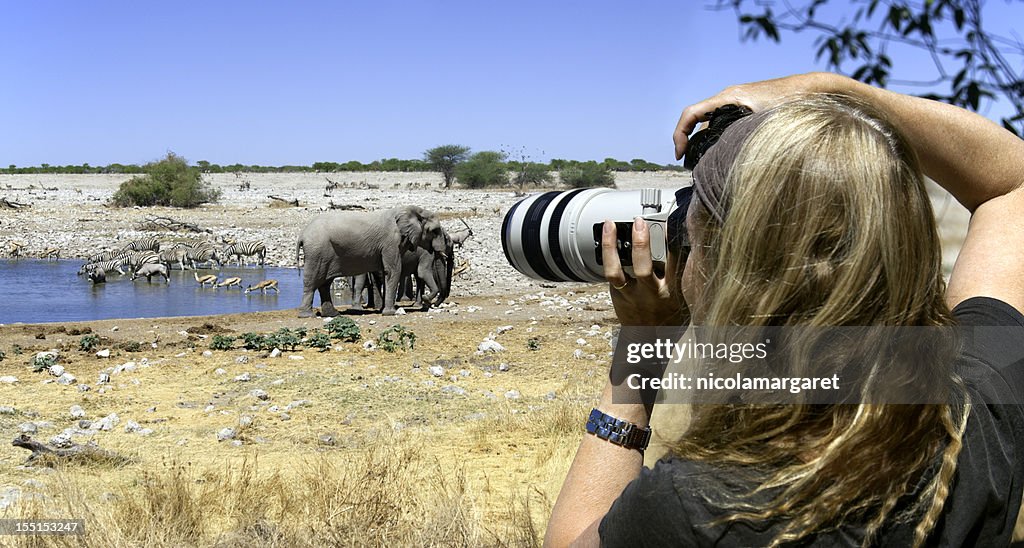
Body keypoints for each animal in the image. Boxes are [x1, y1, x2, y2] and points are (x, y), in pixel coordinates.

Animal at [299, 205, 452, 317]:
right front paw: (390, 313)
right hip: (316, 252)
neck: (410, 210)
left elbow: (387, 272)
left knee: (325, 283)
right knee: (312, 281)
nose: (428, 300)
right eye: (435, 231)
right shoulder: (390, 242)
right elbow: (395, 271)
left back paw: (333, 314)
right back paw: (308, 315)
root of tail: (302, 235)